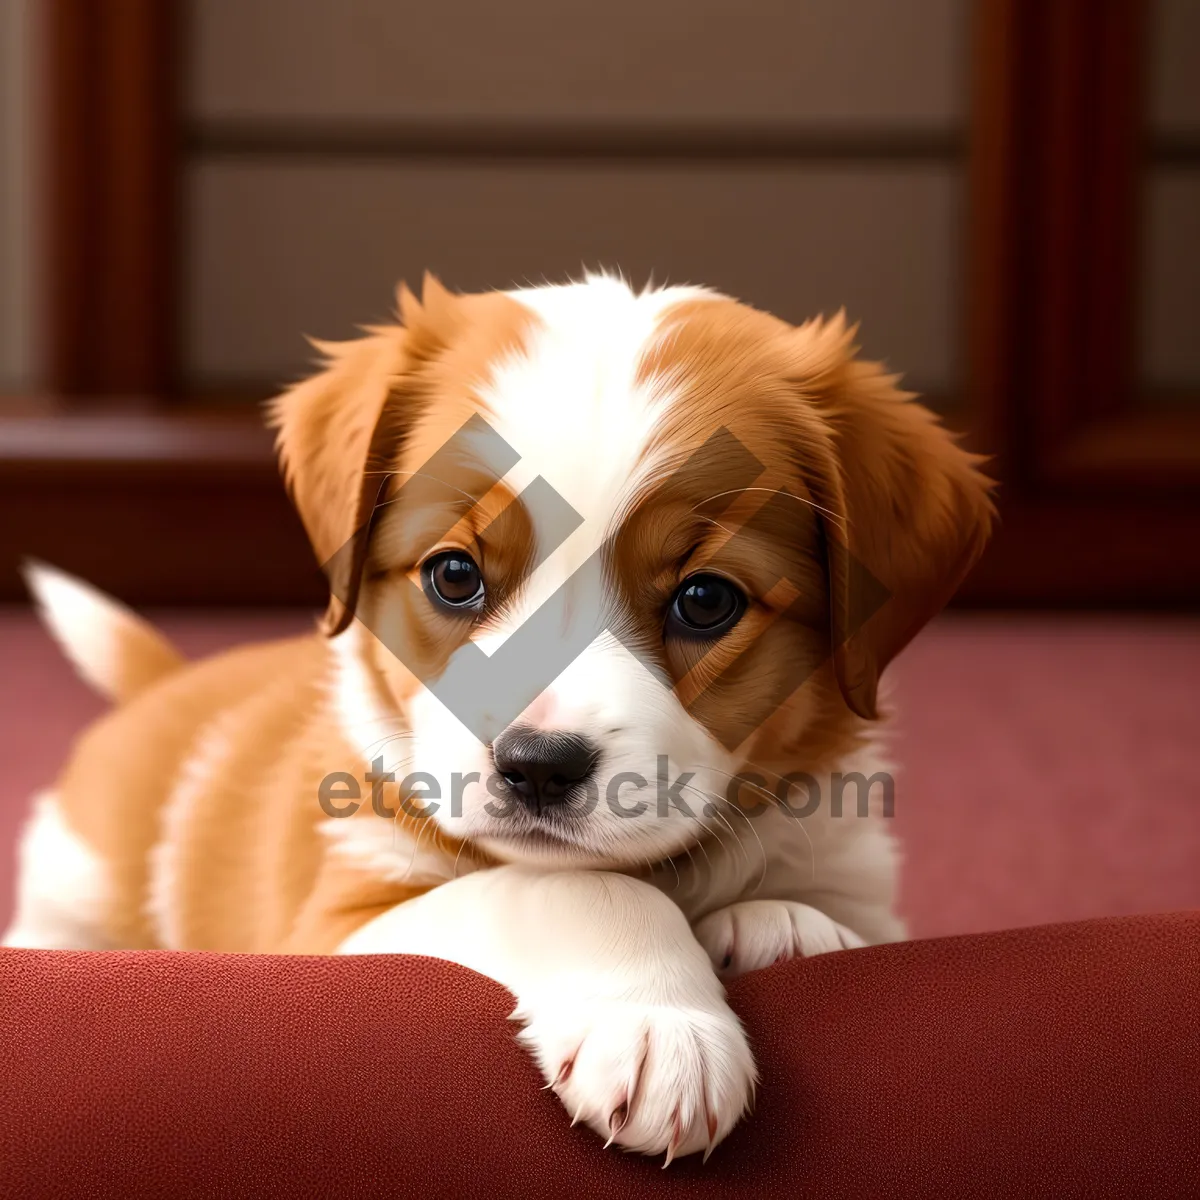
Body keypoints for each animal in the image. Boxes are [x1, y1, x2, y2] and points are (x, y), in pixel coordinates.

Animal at [2, 274, 993, 1161]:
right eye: (454, 575)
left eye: (707, 600)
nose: (539, 765)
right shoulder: (335, 926)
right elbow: (565, 888)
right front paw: (657, 1022)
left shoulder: (860, 874)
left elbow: (827, 910)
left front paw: (783, 925)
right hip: (74, 889)